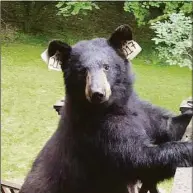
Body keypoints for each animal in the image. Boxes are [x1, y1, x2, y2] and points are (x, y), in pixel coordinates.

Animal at [19, 24, 191, 192]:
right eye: (82, 70)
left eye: (106, 66)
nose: (97, 93)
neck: (113, 106)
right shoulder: (97, 131)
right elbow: (137, 157)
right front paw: (188, 148)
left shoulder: (141, 110)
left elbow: (167, 126)